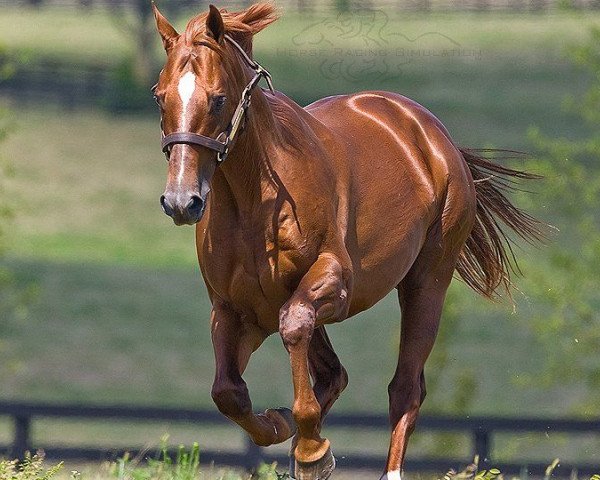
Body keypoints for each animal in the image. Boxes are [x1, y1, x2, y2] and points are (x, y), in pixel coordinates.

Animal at [149, 2, 540, 476]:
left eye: (218, 98)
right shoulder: (235, 310)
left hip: (427, 284)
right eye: (159, 95)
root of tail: (431, 134)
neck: (256, 200)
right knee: (333, 374)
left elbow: (294, 330)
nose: (181, 201)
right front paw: (283, 426)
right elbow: (229, 391)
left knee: (405, 388)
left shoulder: (333, 283)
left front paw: (311, 449)